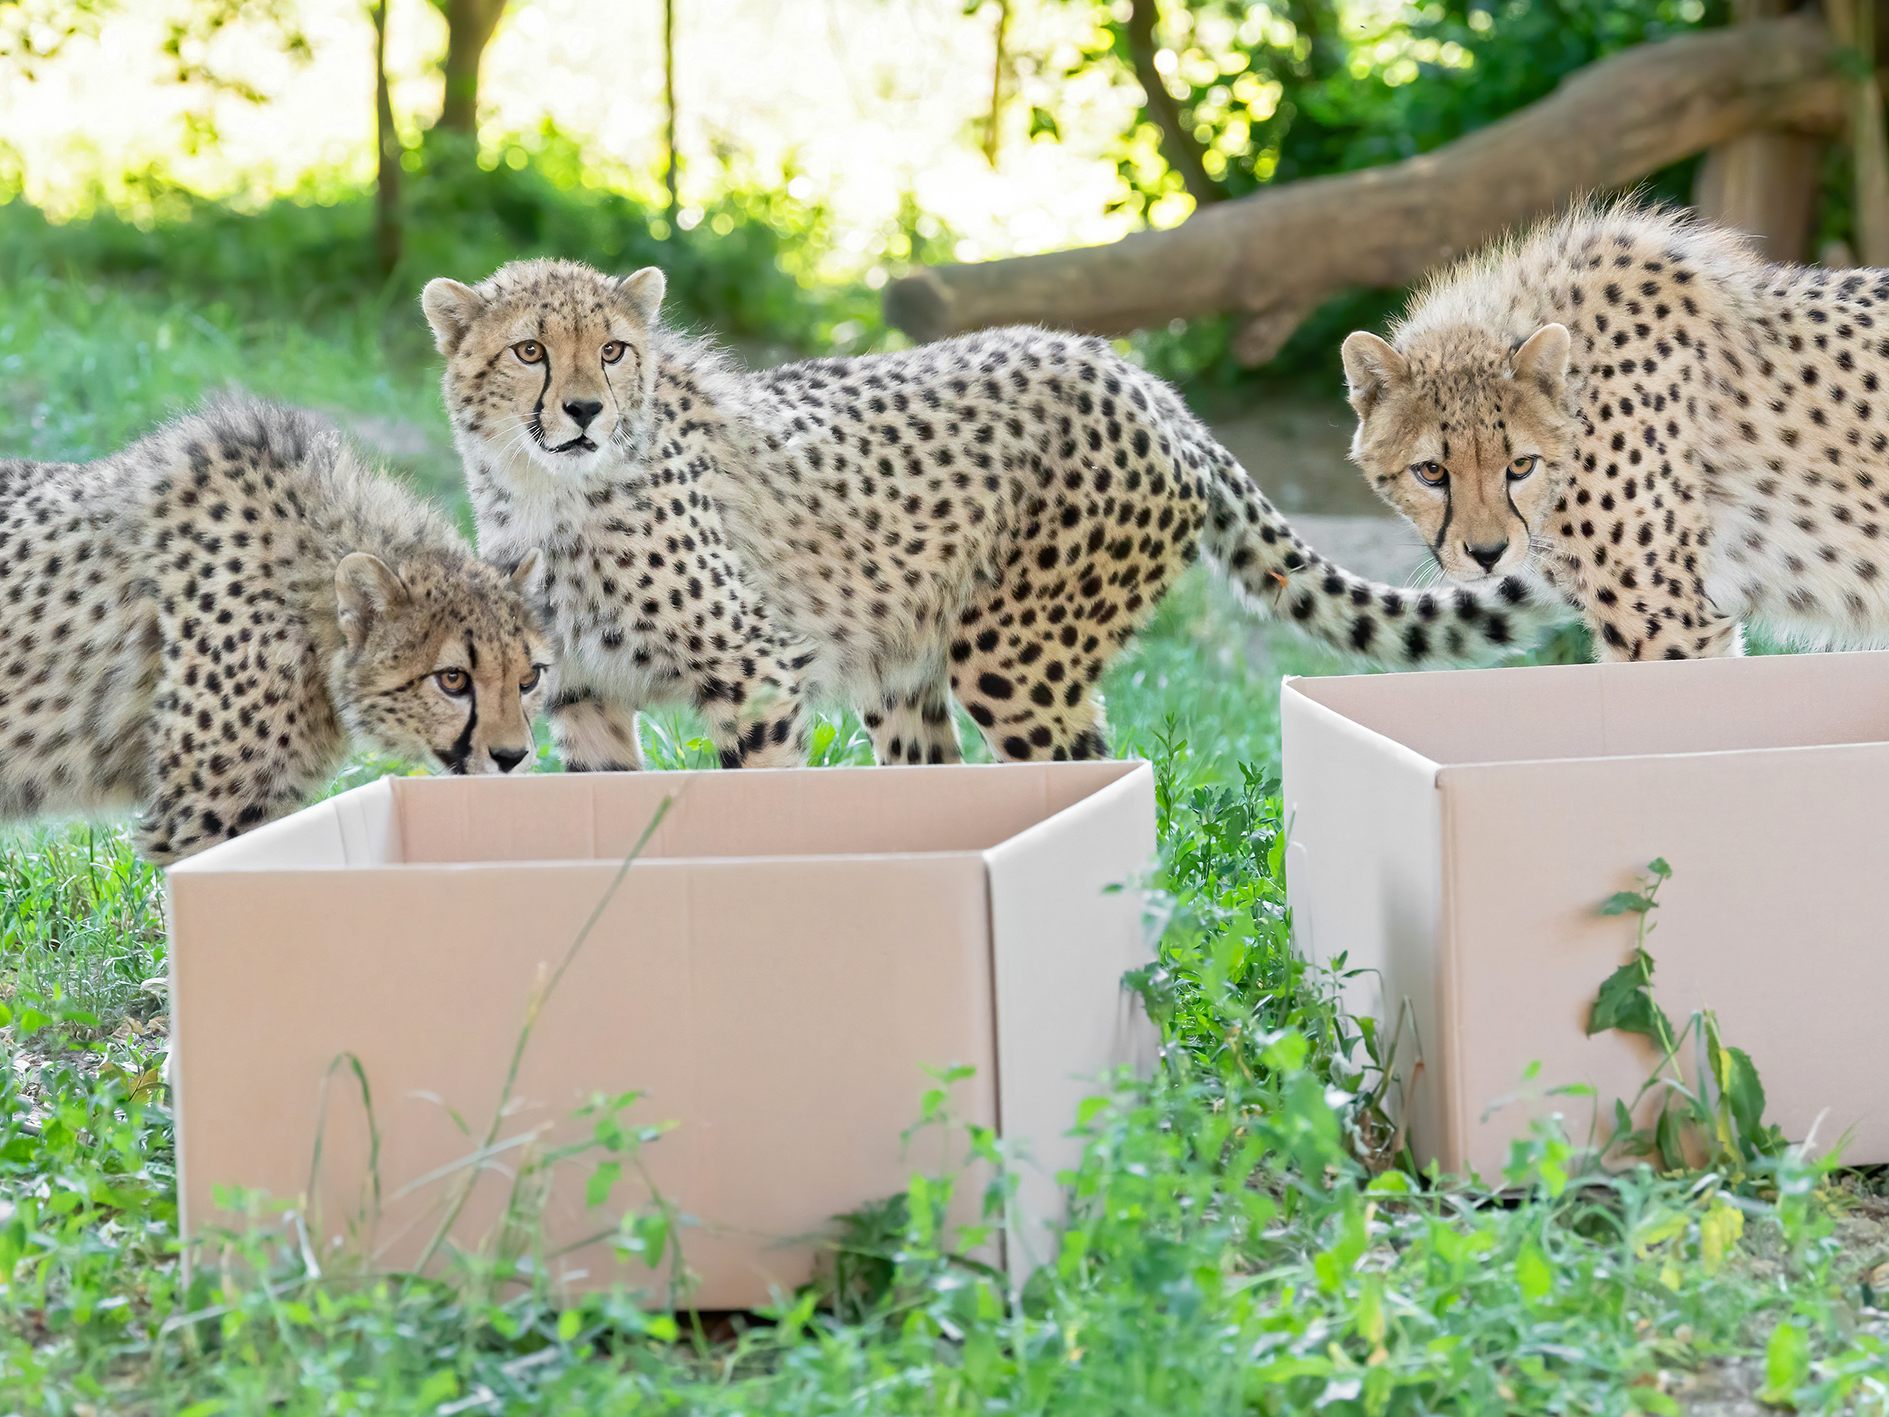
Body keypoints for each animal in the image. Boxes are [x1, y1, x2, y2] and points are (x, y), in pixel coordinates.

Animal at [425, 255, 1564, 767]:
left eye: (614, 350)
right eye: (529, 350)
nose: (581, 409)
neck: (545, 494)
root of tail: (1133, 375)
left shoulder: (756, 675)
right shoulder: (577, 697)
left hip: (1013, 652)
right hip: (905, 671)